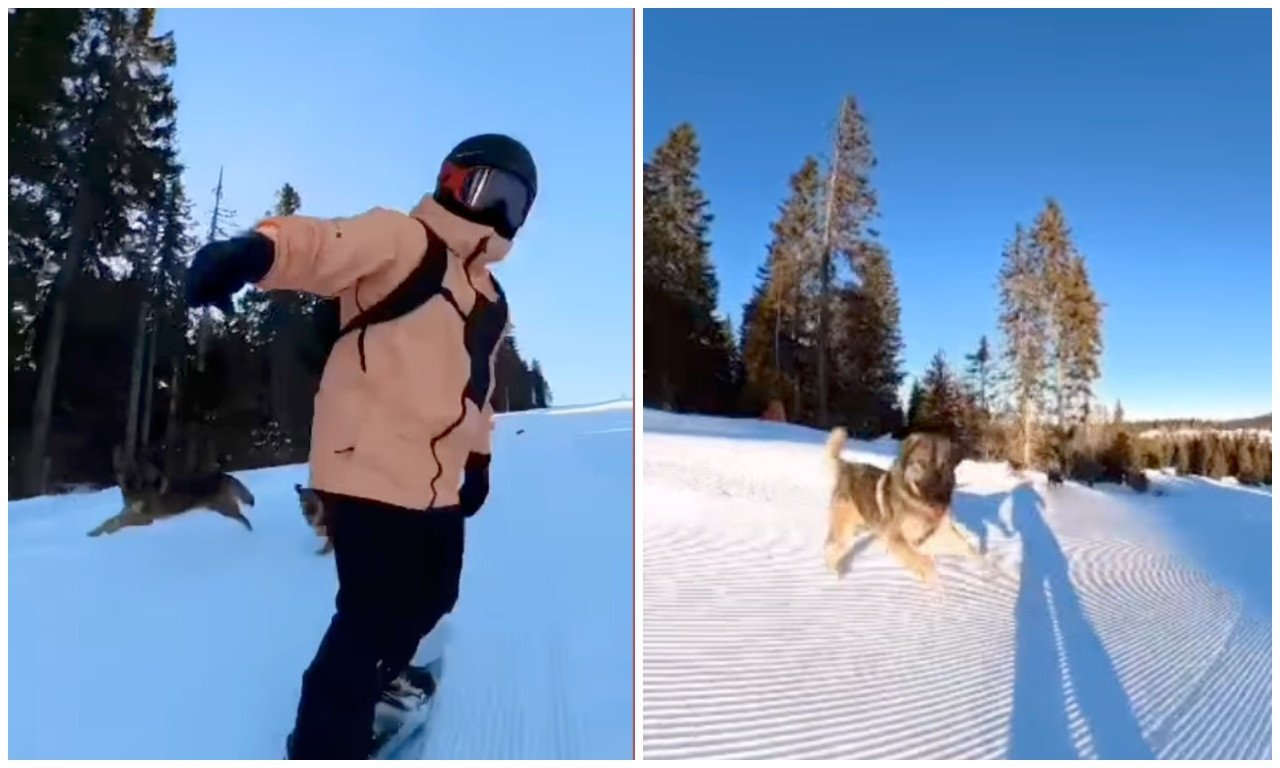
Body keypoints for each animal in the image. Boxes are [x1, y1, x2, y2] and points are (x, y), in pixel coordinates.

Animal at [87, 448, 254, 537]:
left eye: (132, 472)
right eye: (118, 469)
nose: (123, 481)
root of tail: (224, 475)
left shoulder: (145, 519)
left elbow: (117, 523)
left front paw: (105, 533)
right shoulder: (128, 512)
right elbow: (109, 521)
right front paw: (94, 533)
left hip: (225, 509)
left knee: (243, 518)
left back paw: (251, 535)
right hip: (219, 509)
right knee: (242, 517)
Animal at [824, 430, 983, 586]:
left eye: (943, 465)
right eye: (921, 463)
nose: (935, 499)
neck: (918, 504)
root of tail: (846, 465)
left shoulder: (937, 535)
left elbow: (968, 549)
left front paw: (986, 570)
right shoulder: (896, 539)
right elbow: (926, 564)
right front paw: (937, 587)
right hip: (845, 533)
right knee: (831, 549)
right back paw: (835, 576)